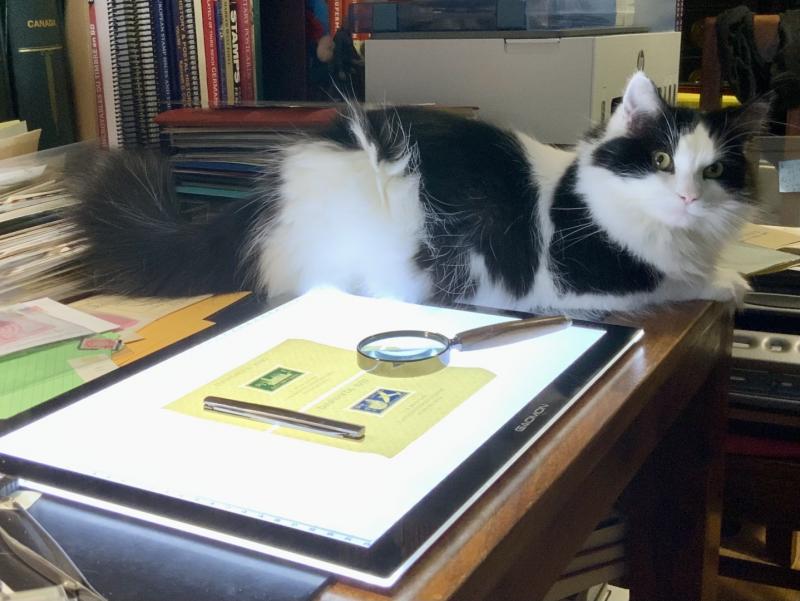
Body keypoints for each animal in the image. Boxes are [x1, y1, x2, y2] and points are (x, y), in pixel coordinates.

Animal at [72, 72, 769, 315]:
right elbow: (671, 281)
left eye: (713, 172)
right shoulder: (579, 278)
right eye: (661, 161)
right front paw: (728, 282)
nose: (688, 197)